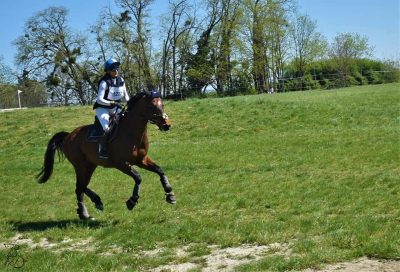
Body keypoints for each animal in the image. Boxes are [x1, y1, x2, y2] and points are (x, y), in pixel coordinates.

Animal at [36, 91, 177, 219]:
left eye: (162, 104)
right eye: (151, 106)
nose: (167, 125)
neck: (131, 133)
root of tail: (68, 136)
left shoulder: (141, 160)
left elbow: (160, 170)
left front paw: (170, 193)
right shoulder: (121, 164)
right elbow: (138, 177)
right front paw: (132, 201)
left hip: (90, 165)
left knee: (82, 186)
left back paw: (91, 206)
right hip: (81, 165)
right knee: (79, 186)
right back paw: (87, 210)